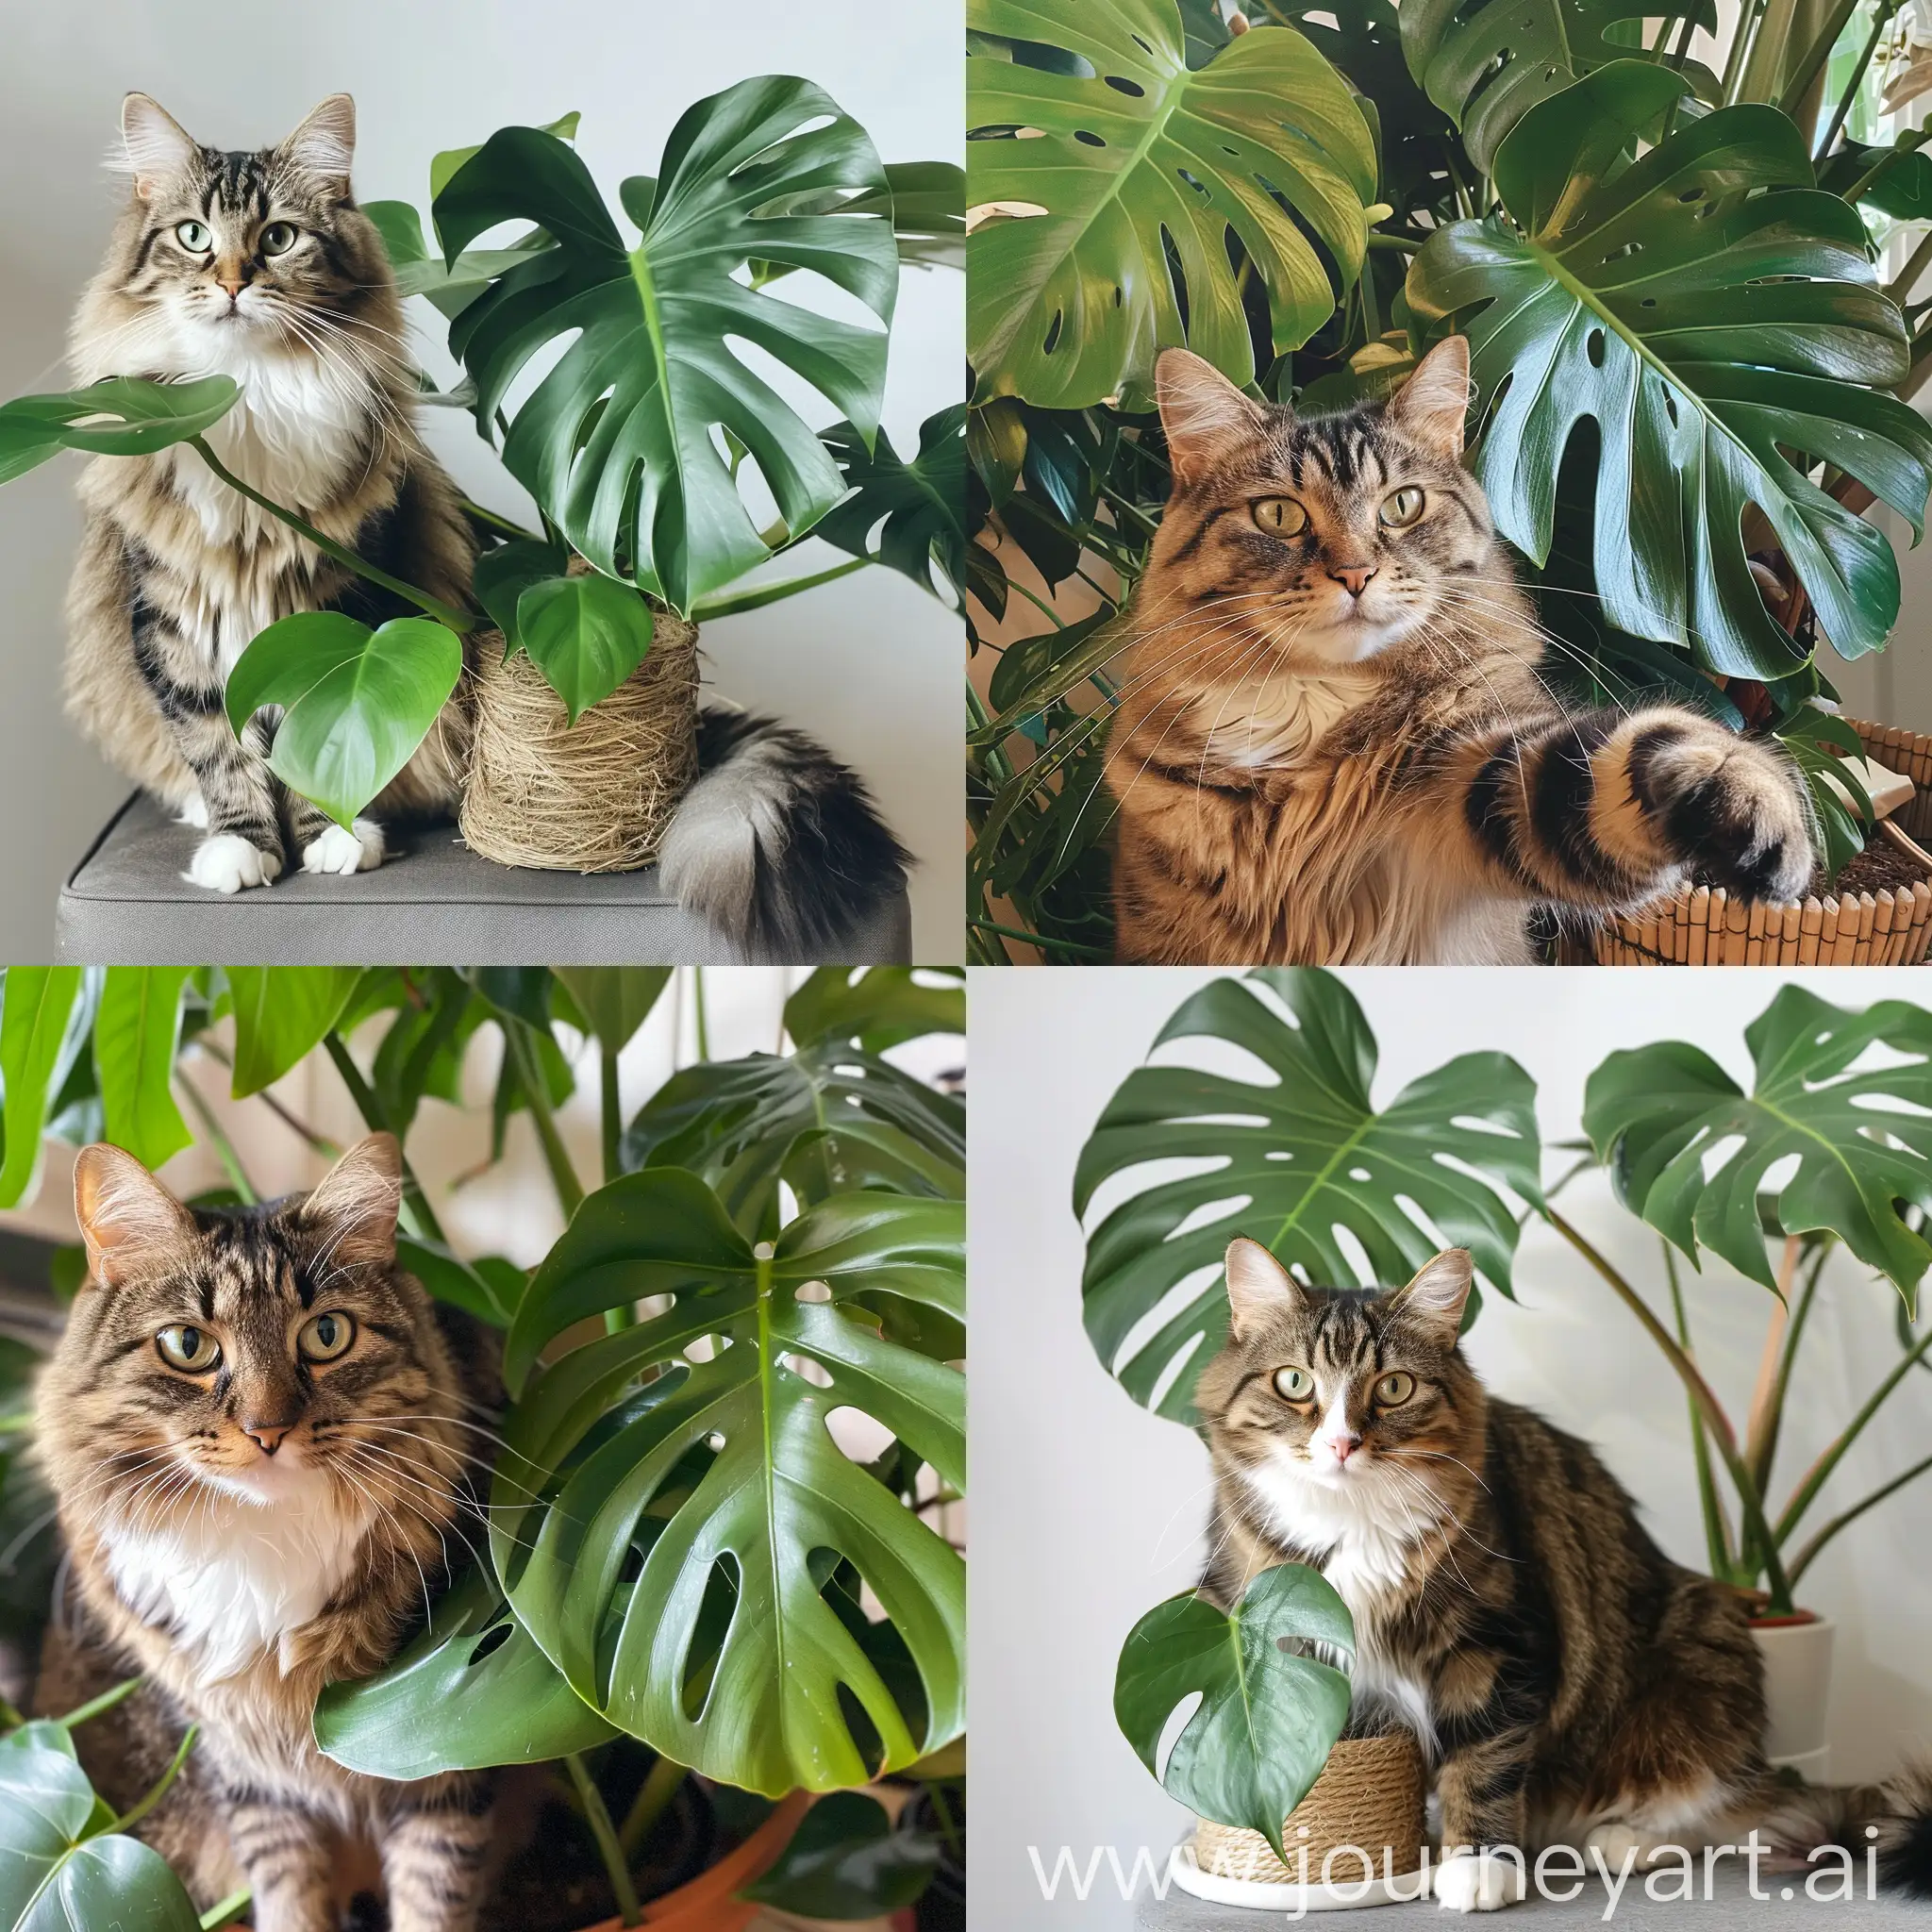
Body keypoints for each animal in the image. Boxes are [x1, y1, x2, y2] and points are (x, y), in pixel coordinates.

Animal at [35, 1128, 502, 1932]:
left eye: (327, 1335)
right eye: (188, 1346)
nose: (267, 1431)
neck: (264, 1541)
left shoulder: (438, 1739)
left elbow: (433, 1893)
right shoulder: (244, 1765)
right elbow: (285, 1888)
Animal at [62, 93, 904, 954]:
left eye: (278, 239)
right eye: (195, 236)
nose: (233, 283)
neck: (244, 398)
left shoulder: (344, 592)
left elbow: (315, 735)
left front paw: (333, 832)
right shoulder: (167, 609)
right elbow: (215, 743)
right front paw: (242, 844)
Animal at [1112, 340, 1816, 966]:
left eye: (1403, 505)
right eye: (1279, 516)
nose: (1355, 574)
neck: (1316, 708)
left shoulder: (1490, 776)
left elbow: (1638, 751)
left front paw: (1751, 797)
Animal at [1190, 1243, 1932, 1908]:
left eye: (1393, 1387)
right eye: (1294, 1383)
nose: (1342, 1444)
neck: (1350, 1523)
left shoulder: (1496, 1640)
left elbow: (1484, 1757)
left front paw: (1477, 1867)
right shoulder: (1259, 1621)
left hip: (1699, 1650)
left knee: (1718, 1817)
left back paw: (1622, 1840)